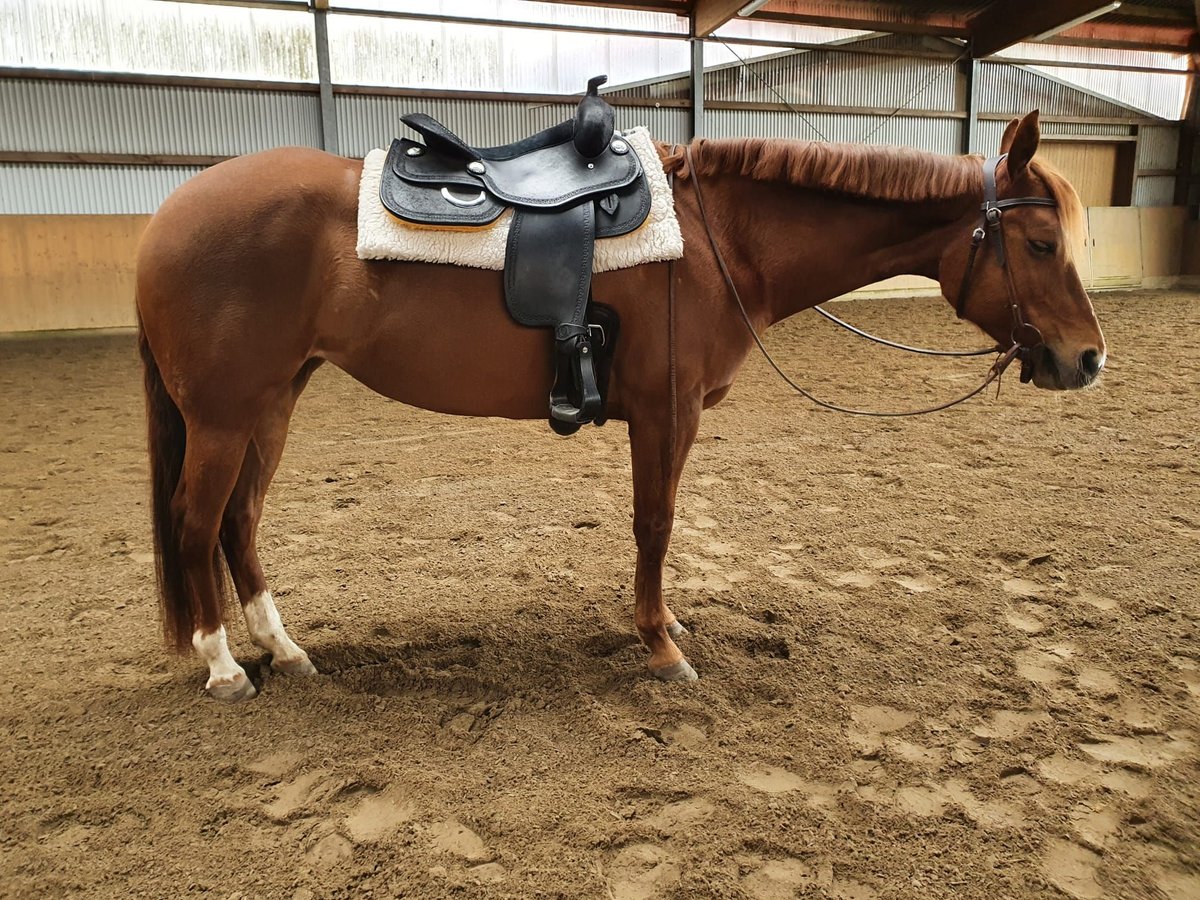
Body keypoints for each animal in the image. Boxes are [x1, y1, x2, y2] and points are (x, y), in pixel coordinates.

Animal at [133, 112, 1104, 700]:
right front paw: (661, 646)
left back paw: (285, 650)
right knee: (195, 523)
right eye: (1041, 242)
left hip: (272, 402)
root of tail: (167, 216)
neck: (721, 241)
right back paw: (224, 666)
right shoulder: (668, 413)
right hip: (225, 417)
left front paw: (663, 625)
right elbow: (656, 523)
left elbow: (658, 524)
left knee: (239, 521)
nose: (1087, 359)